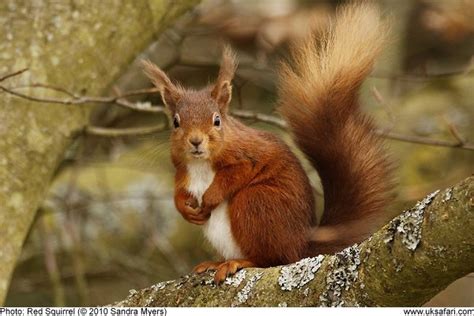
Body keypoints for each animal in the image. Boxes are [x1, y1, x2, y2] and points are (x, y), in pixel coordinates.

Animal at [143, 3, 394, 284]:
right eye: (176, 122)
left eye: (217, 120)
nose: (195, 141)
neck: (201, 163)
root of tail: (300, 249)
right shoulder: (181, 167)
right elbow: (179, 189)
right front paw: (184, 208)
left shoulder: (250, 153)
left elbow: (239, 172)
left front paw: (211, 196)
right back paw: (215, 262)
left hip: (256, 202)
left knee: (270, 258)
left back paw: (238, 262)